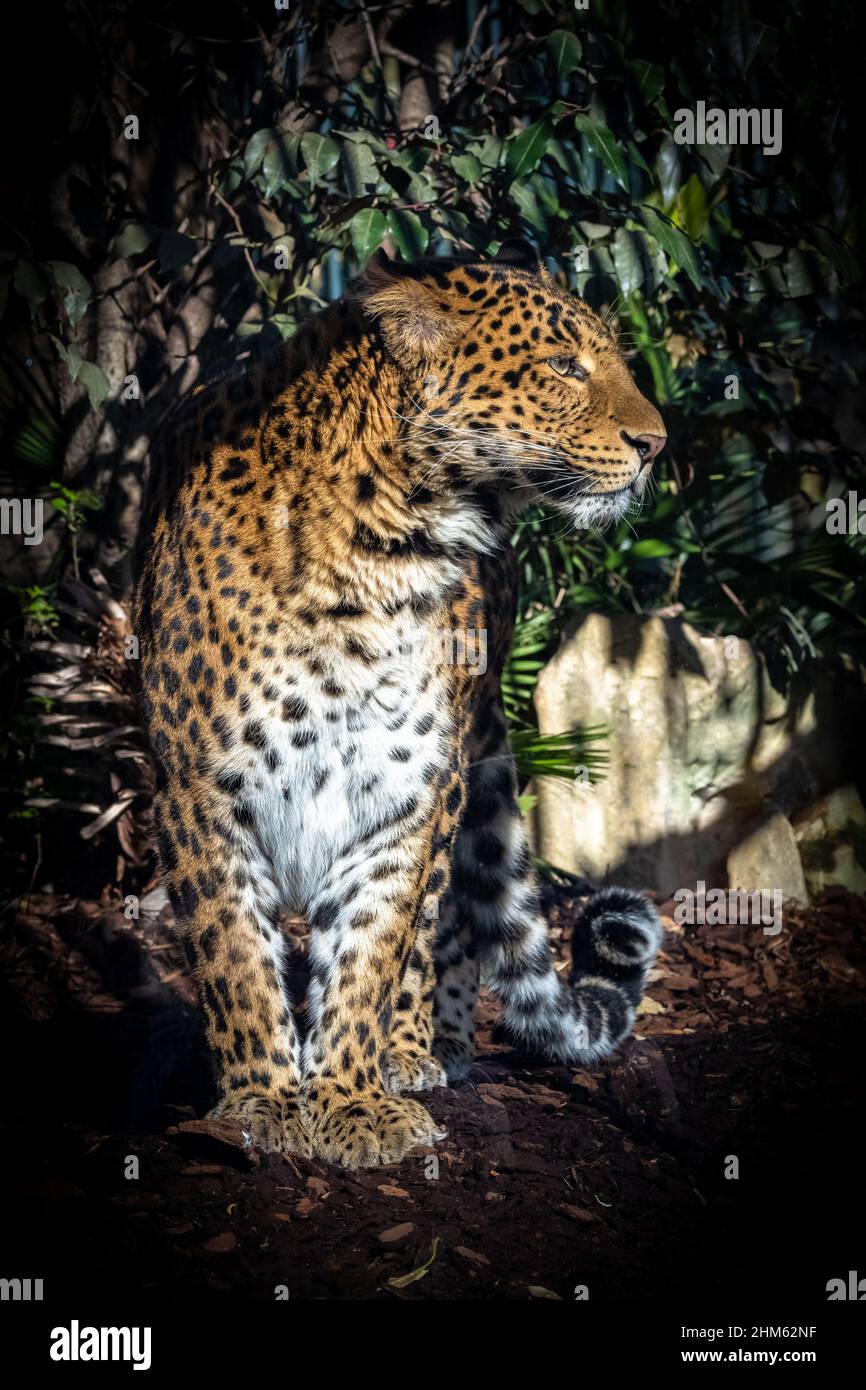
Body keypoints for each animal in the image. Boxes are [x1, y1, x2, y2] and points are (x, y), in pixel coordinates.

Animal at [134, 238, 667, 1170]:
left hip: (458, 772)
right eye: (563, 365)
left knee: (439, 930)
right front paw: (261, 1103)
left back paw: (421, 1050)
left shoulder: (401, 793)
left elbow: (374, 950)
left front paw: (351, 1100)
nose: (657, 444)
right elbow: (235, 956)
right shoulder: (199, 791)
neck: (385, 553)